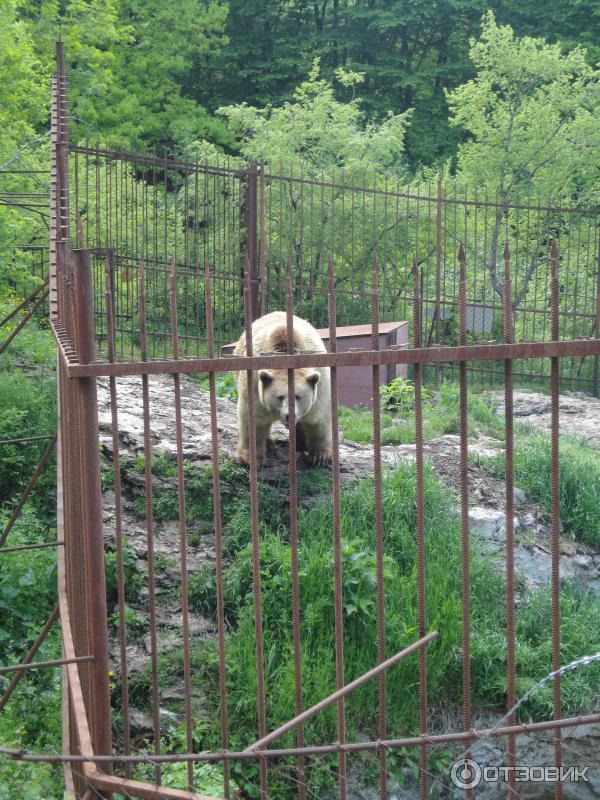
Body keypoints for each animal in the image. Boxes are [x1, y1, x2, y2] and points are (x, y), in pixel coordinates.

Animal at [232, 310, 332, 466]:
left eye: (298, 396)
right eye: (280, 397)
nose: (289, 415)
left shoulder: (320, 386)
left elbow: (317, 419)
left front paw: (319, 456)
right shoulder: (254, 388)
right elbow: (253, 420)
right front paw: (251, 458)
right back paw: (270, 444)